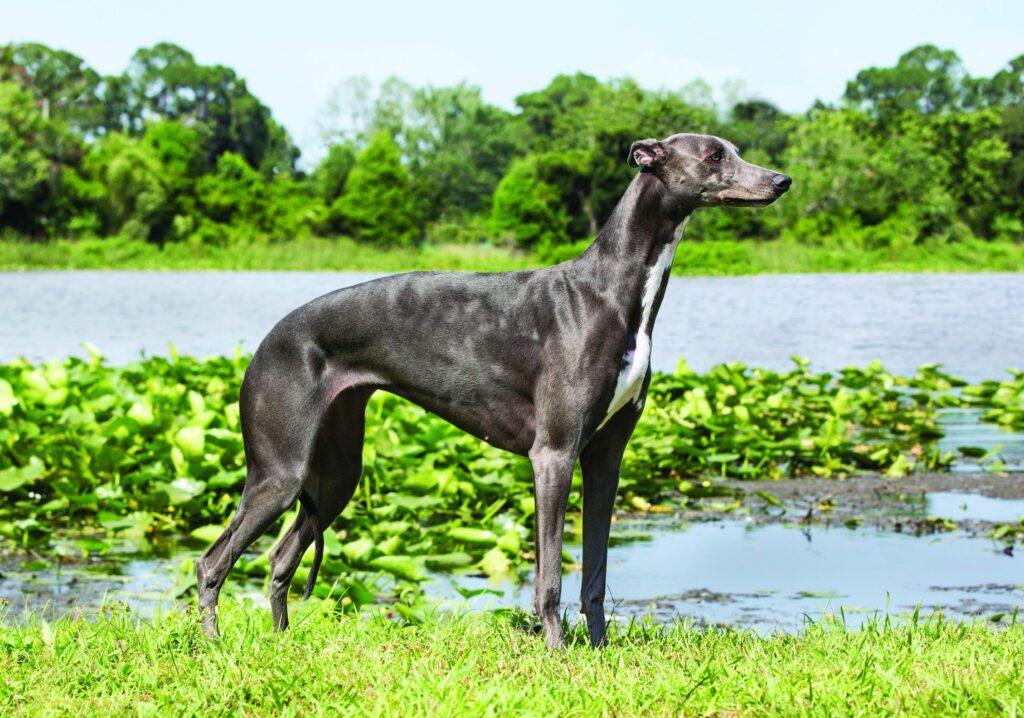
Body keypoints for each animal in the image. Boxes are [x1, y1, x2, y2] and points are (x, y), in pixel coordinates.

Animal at [197, 130, 790, 651]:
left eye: (734, 149)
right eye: (714, 156)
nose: (781, 180)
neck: (611, 290)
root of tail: (267, 340)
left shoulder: (605, 458)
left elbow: (594, 574)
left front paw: (600, 652)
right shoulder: (553, 454)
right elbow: (549, 577)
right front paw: (558, 654)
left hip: (336, 473)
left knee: (279, 560)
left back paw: (282, 643)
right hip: (280, 472)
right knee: (211, 562)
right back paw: (214, 648)